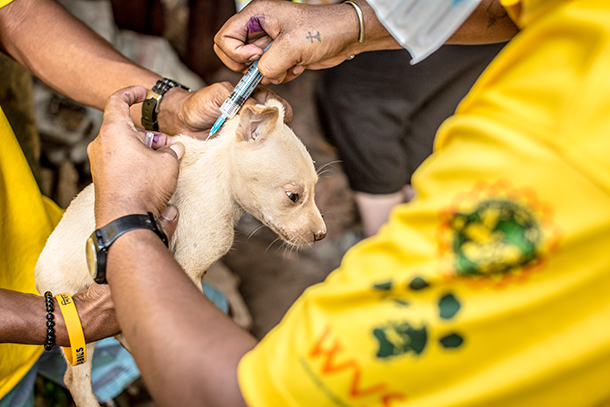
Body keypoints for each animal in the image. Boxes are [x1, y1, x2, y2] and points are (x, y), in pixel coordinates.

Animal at [35, 99, 326, 407]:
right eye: (293, 196)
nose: (322, 234)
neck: (221, 179)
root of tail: (38, 279)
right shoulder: (188, 270)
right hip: (78, 329)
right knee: (75, 381)